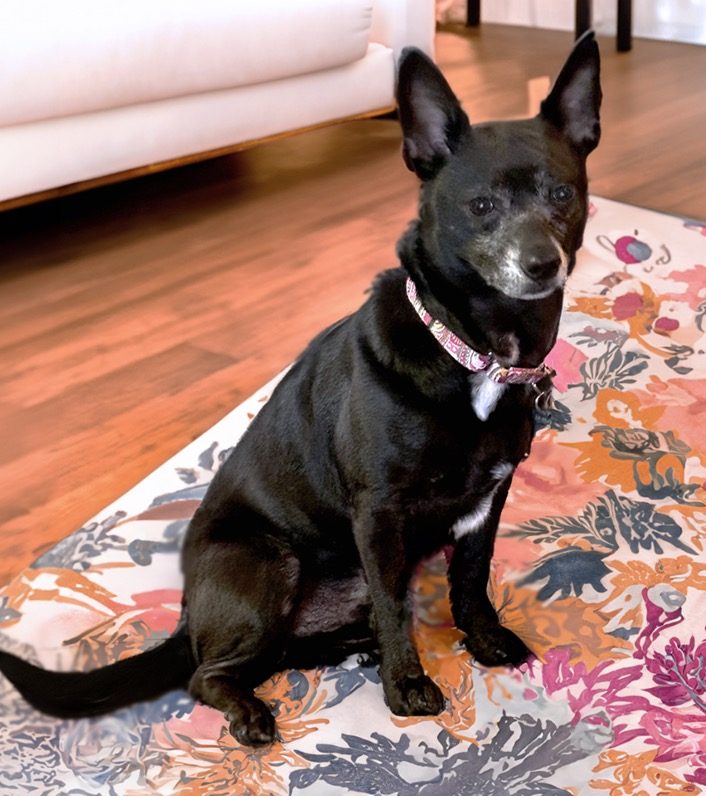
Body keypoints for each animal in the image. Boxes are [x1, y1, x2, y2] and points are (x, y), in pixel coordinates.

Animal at [0, 35, 596, 748]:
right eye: (481, 207)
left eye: (562, 193)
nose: (542, 264)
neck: (475, 353)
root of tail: (188, 615)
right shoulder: (380, 513)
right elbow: (397, 608)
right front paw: (407, 686)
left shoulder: (488, 498)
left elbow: (471, 578)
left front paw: (482, 640)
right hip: (269, 566)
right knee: (206, 674)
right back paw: (254, 710)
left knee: (286, 651)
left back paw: (352, 651)